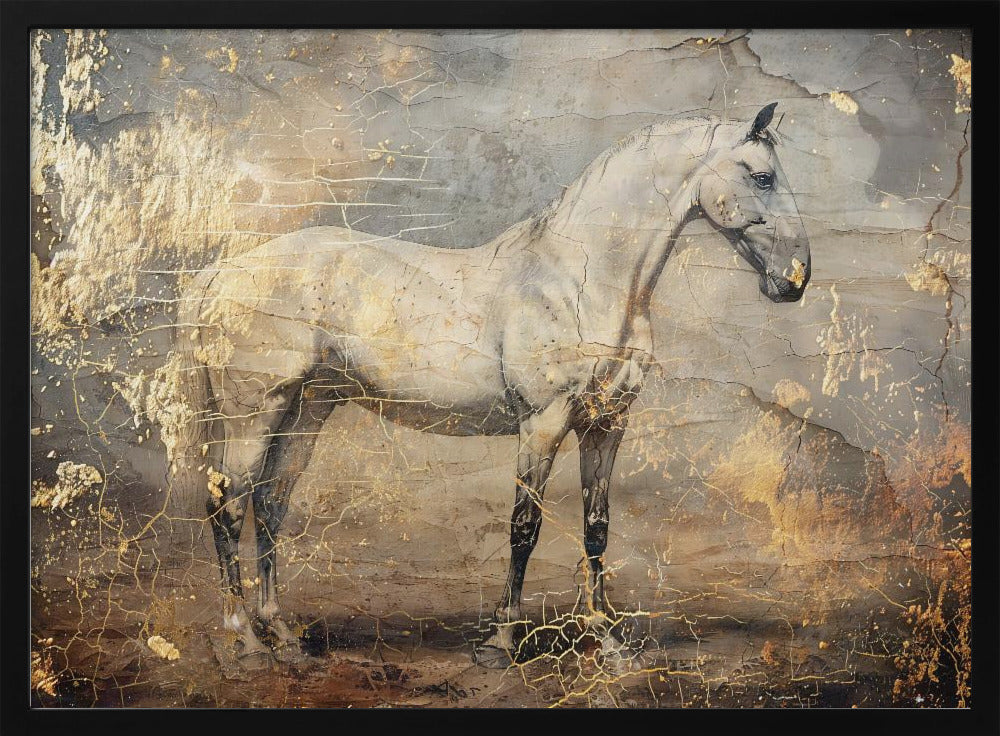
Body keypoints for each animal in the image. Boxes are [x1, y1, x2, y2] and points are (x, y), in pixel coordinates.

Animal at [172, 102, 810, 667]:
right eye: (763, 176)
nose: (796, 280)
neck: (583, 280)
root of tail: (220, 273)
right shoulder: (543, 422)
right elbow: (524, 527)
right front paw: (502, 642)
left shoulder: (607, 424)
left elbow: (597, 529)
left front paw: (606, 637)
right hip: (254, 412)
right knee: (228, 506)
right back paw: (245, 640)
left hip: (308, 409)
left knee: (270, 504)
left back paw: (280, 631)